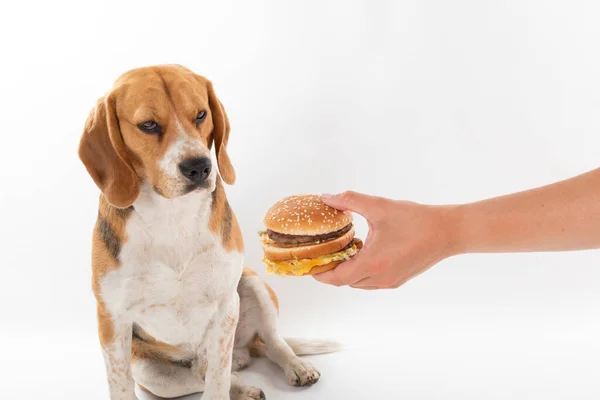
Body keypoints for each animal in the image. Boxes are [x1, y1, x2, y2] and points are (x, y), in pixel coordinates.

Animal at [79, 64, 340, 398]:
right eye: (148, 124)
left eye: (201, 114)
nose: (199, 167)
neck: (172, 215)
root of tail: (246, 350)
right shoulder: (111, 318)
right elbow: (122, 385)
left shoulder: (225, 305)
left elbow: (218, 377)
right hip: (153, 375)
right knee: (201, 373)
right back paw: (243, 387)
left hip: (252, 284)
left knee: (270, 344)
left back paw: (295, 366)